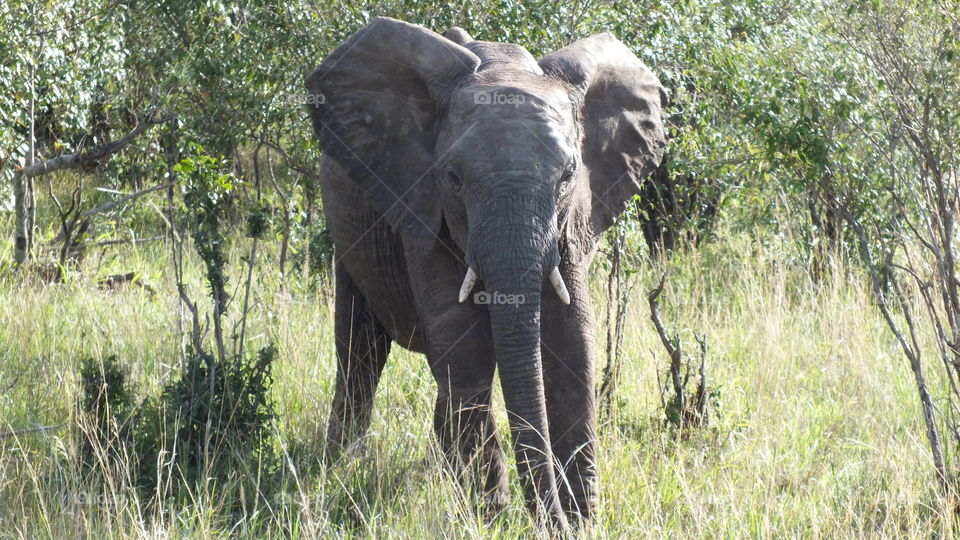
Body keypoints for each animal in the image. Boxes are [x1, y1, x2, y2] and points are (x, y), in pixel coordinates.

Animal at [306, 17, 666, 532]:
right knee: (361, 351)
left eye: (567, 176)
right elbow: (465, 348)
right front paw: (492, 517)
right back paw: (339, 465)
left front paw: (581, 520)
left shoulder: (574, 219)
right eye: (454, 179)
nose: (551, 523)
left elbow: (572, 346)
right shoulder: (420, 204)